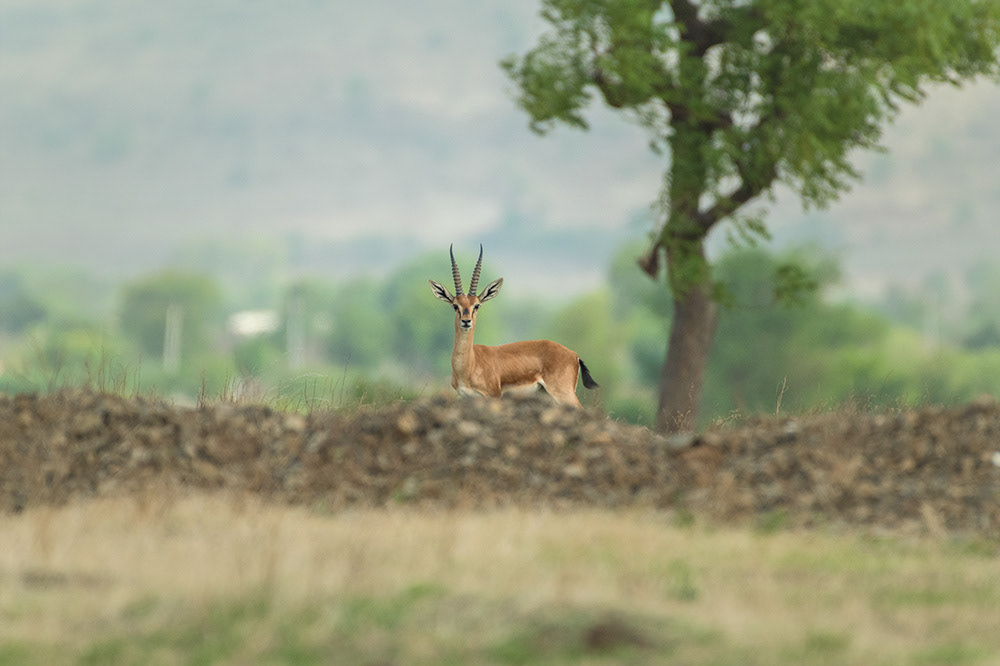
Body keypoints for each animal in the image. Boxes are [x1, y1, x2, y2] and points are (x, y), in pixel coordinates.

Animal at [429, 245, 599, 407]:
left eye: (476, 305)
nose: (466, 321)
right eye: (455, 305)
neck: (470, 364)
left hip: (563, 393)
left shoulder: (493, 396)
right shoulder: (467, 398)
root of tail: (574, 355)